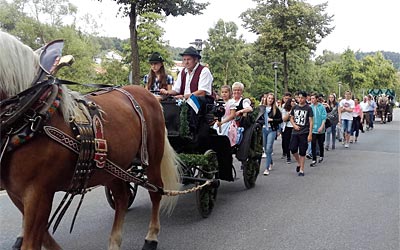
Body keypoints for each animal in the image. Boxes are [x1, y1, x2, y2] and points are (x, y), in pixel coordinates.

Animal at [0, 30, 180, 249]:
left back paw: (151, 237)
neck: (32, 114)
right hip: (114, 168)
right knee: (122, 197)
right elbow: (44, 236)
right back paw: (114, 242)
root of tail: (148, 94)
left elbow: (34, 239)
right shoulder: (17, 194)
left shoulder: (37, 194)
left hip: (152, 159)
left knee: (156, 192)